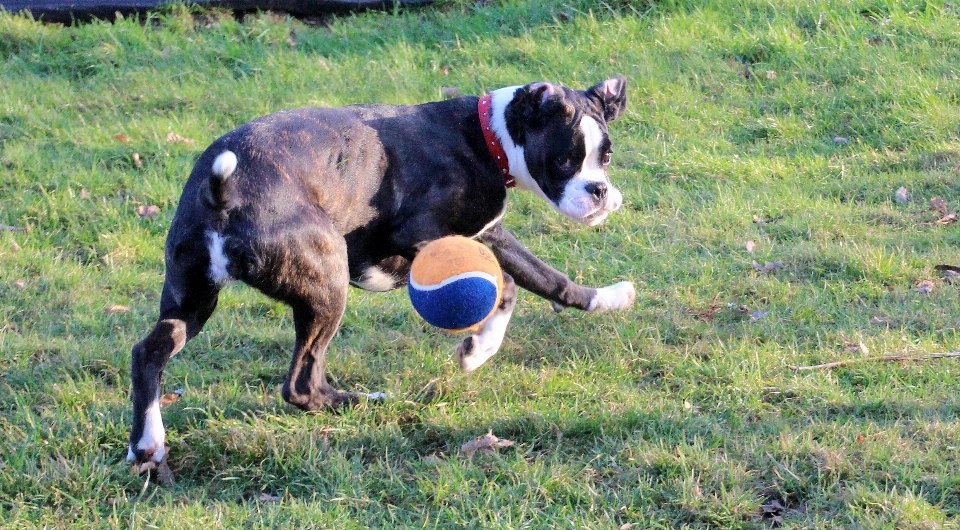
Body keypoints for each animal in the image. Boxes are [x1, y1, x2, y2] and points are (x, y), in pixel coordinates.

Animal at [125, 75, 636, 466]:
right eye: (565, 159)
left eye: (606, 157)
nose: (599, 191)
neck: (485, 136)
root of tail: (223, 193)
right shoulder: (425, 237)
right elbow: (510, 284)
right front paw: (477, 351)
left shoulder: (487, 234)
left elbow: (544, 279)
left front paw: (608, 299)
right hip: (326, 283)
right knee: (301, 383)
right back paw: (365, 403)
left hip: (191, 297)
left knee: (150, 350)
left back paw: (148, 443)